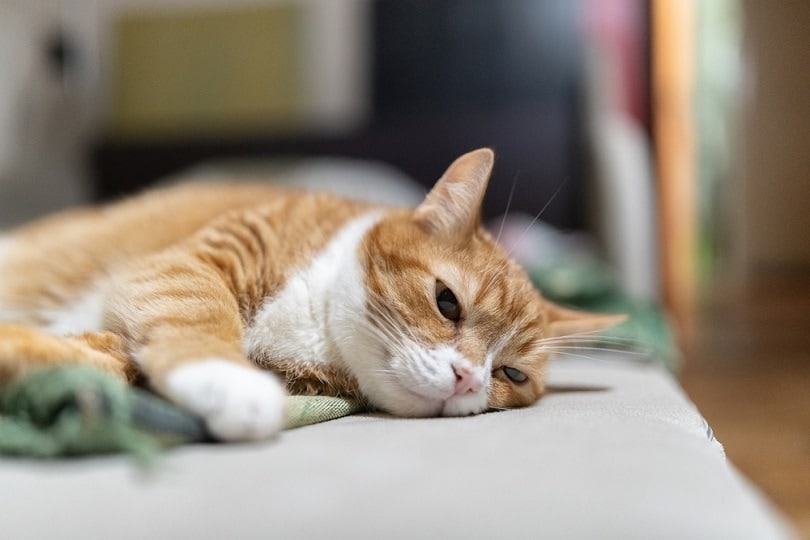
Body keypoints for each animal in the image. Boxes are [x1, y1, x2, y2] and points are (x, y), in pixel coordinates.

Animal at [0, 147, 620, 438]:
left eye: (511, 374)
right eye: (448, 302)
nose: (469, 379)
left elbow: (92, 359)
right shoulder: (197, 261)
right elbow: (199, 314)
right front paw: (231, 383)